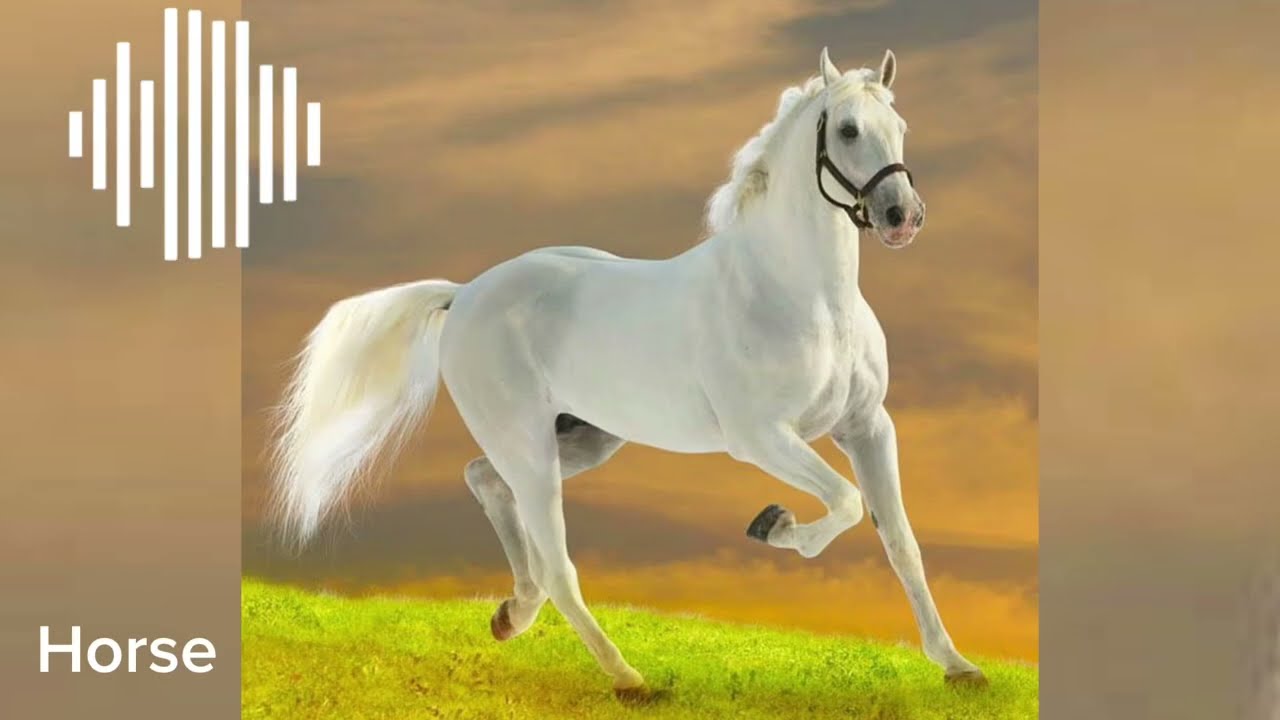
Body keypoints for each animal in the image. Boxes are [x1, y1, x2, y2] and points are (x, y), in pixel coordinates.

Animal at [269, 47, 987, 700]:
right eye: (846, 130)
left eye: (900, 126)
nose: (903, 217)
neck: (801, 295)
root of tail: (466, 292)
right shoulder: (761, 437)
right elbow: (844, 503)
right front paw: (772, 524)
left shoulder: (867, 427)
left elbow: (901, 542)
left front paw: (958, 668)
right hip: (527, 443)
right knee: (559, 564)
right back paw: (628, 678)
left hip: (582, 437)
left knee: (485, 482)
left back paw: (511, 614)